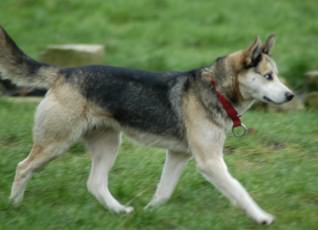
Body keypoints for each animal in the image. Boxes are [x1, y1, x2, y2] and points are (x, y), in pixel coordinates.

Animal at [0, 25, 294, 225]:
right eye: (268, 76)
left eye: (277, 76)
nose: (291, 95)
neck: (215, 89)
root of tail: (62, 72)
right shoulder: (210, 162)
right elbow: (239, 190)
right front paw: (261, 217)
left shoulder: (178, 155)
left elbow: (164, 191)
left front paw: (150, 212)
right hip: (57, 143)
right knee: (23, 167)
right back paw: (15, 206)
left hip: (108, 144)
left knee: (95, 184)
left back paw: (119, 211)